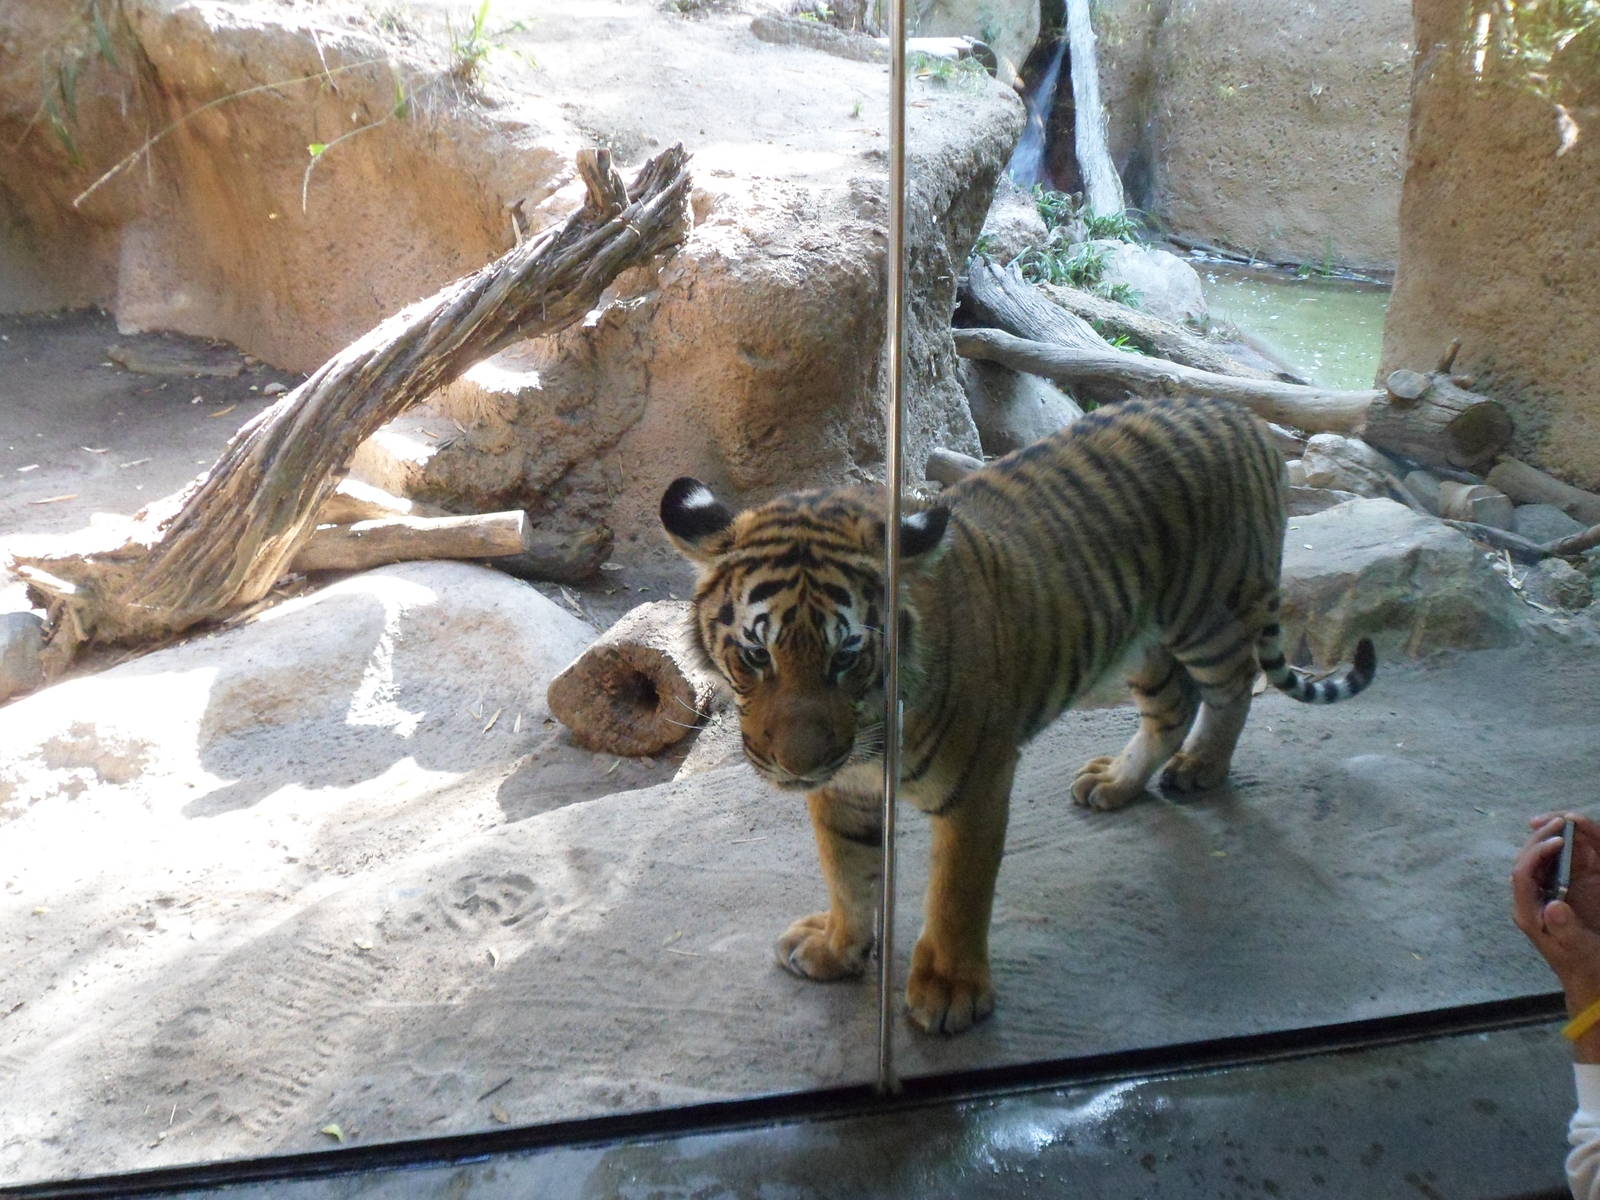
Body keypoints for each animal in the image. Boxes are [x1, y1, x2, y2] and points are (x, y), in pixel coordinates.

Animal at [659, 394, 1375, 1036]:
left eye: (847, 655)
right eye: (757, 653)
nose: (800, 764)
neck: (867, 741)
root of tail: (1237, 413)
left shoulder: (976, 782)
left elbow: (957, 892)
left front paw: (949, 992)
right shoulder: (845, 791)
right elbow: (848, 873)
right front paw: (837, 949)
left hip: (1210, 615)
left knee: (1231, 689)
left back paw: (1200, 766)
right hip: (1139, 641)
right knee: (1175, 703)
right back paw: (1116, 782)